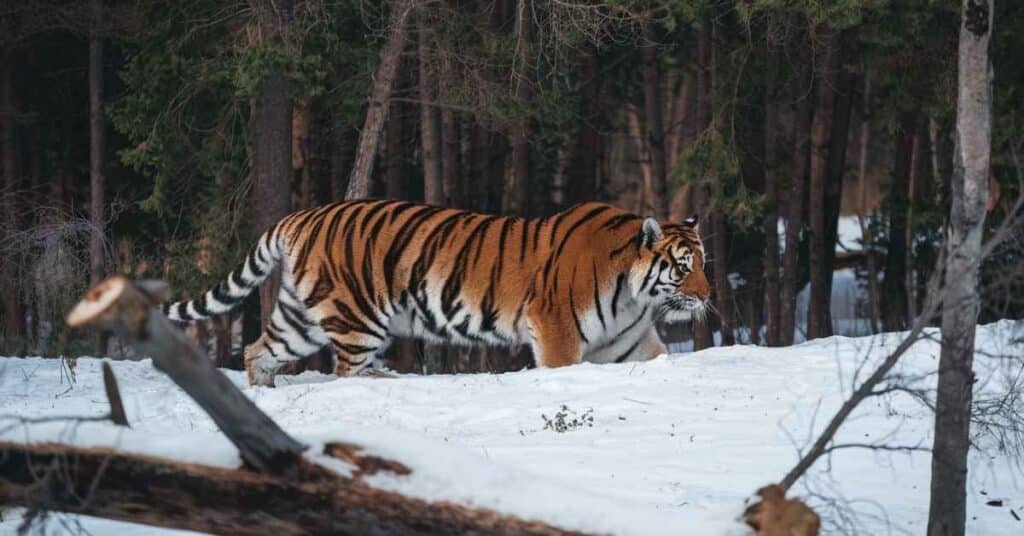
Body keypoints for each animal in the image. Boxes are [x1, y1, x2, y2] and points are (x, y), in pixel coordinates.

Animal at [165, 198, 712, 383]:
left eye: (706, 264)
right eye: (683, 268)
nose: (707, 296)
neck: (632, 294)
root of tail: (303, 215)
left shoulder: (628, 341)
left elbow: (658, 357)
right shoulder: (557, 331)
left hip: (300, 318)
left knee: (258, 350)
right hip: (357, 319)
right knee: (346, 372)